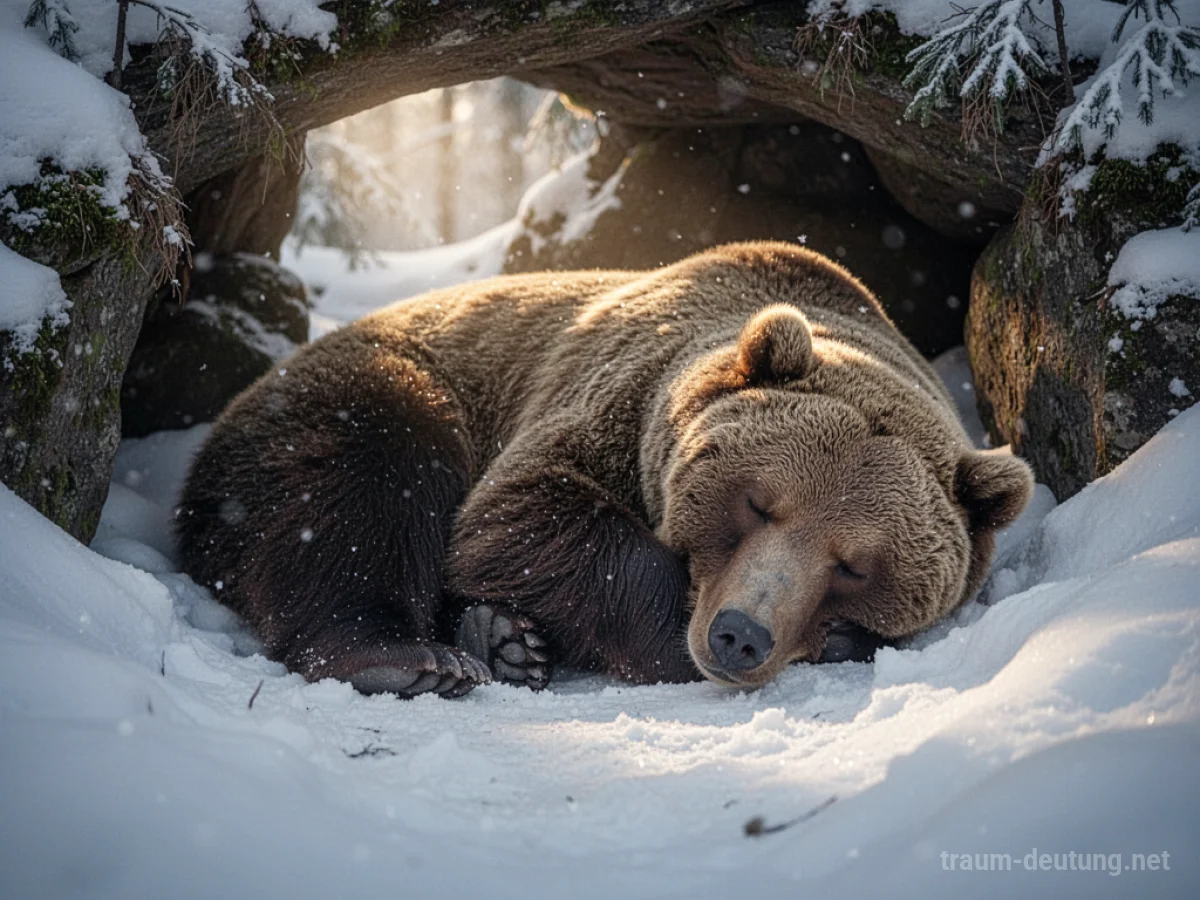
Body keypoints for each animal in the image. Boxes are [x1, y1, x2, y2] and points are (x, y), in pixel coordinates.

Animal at [177, 241, 1033, 697]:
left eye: (854, 564)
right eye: (759, 503)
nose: (738, 635)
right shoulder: (607, 402)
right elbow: (516, 520)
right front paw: (666, 636)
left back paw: (499, 639)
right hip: (373, 393)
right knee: (354, 498)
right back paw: (412, 659)